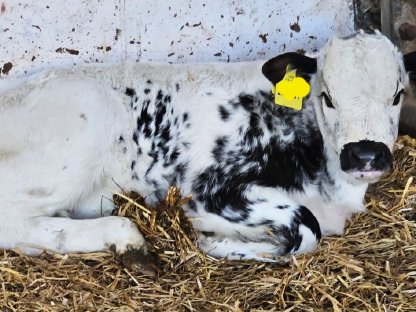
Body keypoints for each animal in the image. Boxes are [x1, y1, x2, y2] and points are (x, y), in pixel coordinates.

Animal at [0, 31, 414, 264]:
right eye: (328, 98)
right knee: (12, 221)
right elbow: (305, 227)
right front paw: (218, 243)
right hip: (82, 129)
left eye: (398, 95)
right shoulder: (210, 189)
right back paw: (126, 238)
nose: (365, 155)